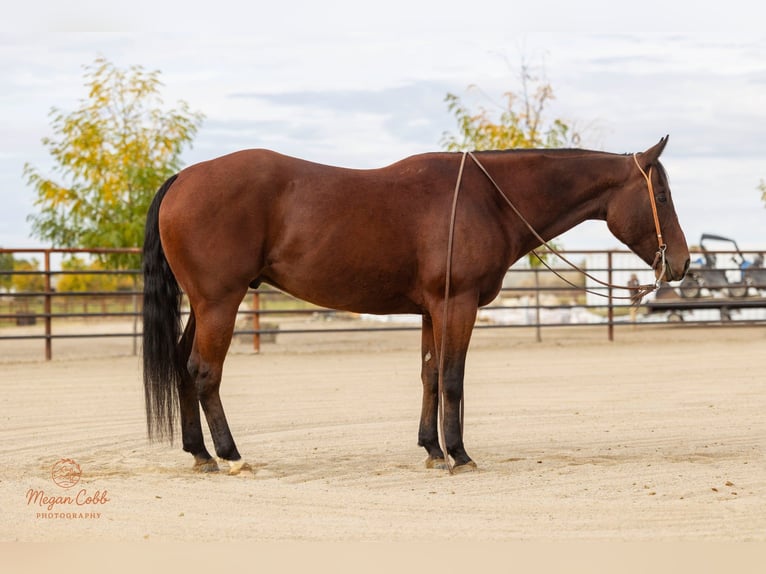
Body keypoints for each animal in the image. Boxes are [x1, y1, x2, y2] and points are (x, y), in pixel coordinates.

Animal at [142, 136, 689, 474]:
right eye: (661, 195)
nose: (681, 263)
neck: (488, 200)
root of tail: (183, 179)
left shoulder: (432, 310)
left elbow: (429, 374)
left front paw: (431, 449)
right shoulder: (458, 304)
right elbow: (452, 378)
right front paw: (460, 455)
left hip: (204, 305)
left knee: (183, 365)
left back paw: (200, 454)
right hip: (221, 302)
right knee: (204, 371)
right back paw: (231, 455)